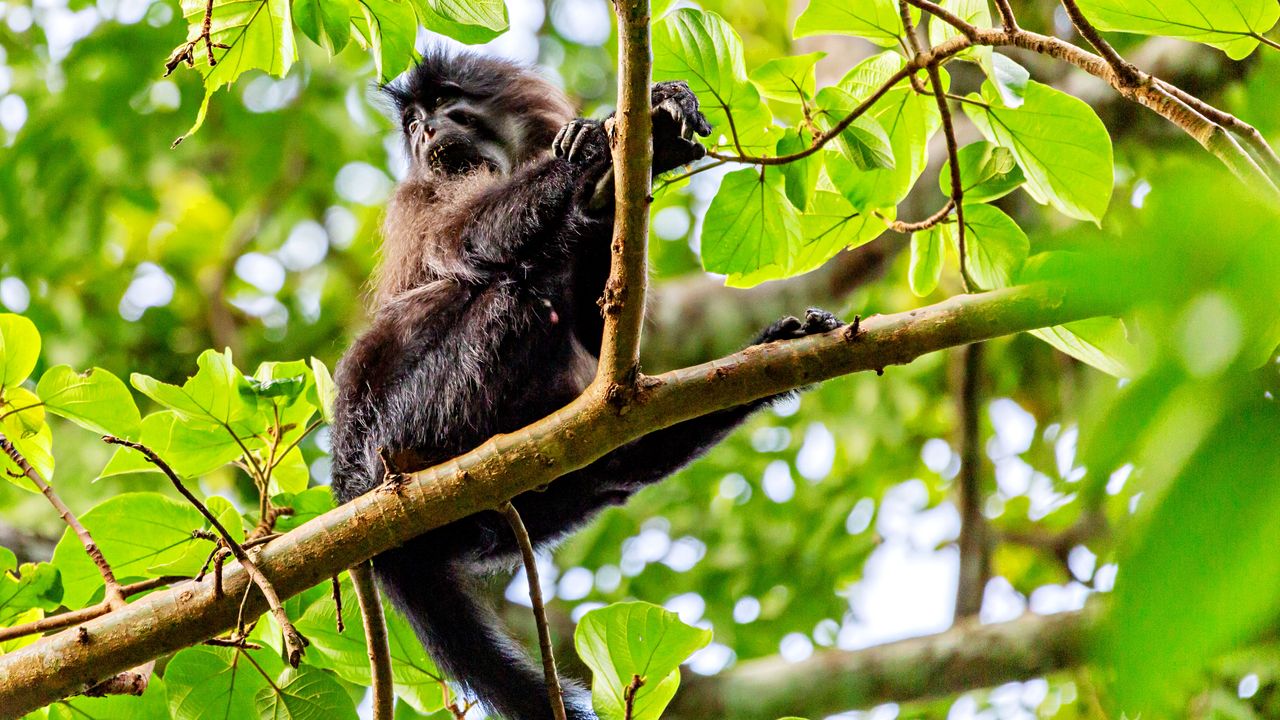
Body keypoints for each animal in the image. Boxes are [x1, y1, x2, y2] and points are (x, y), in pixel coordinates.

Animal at [329, 49, 844, 720]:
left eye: (443, 106)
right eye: (413, 122)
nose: (424, 132)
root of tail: (348, 481)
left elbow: (600, 337)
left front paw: (631, 154)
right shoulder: (420, 193)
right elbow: (466, 239)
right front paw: (600, 142)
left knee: (618, 463)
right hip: (403, 416)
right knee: (511, 292)